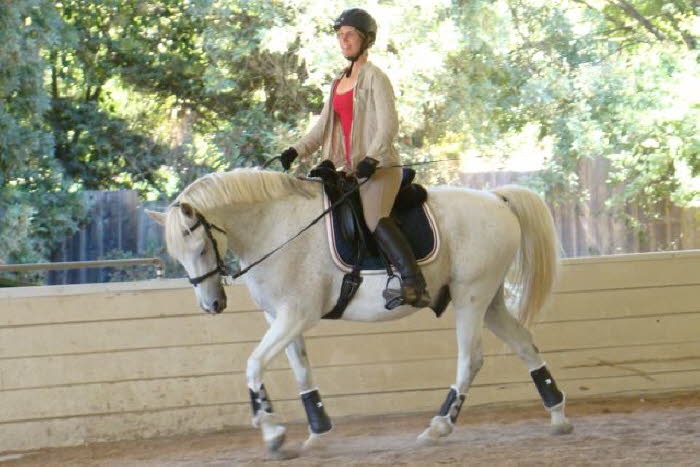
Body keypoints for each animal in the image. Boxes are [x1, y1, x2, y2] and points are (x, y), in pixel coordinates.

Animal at [146, 170, 568, 456]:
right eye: (179, 257)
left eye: (201, 248)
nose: (211, 305)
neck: (275, 228)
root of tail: (497, 199)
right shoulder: (280, 319)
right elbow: (301, 372)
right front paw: (317, 431)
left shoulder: (296, 315)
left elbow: (253, 364)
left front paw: (271, 431)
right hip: (489, 301)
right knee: (525, 345)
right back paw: (559, 417)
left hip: (471, 297)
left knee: (471, 359)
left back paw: (439, 426)